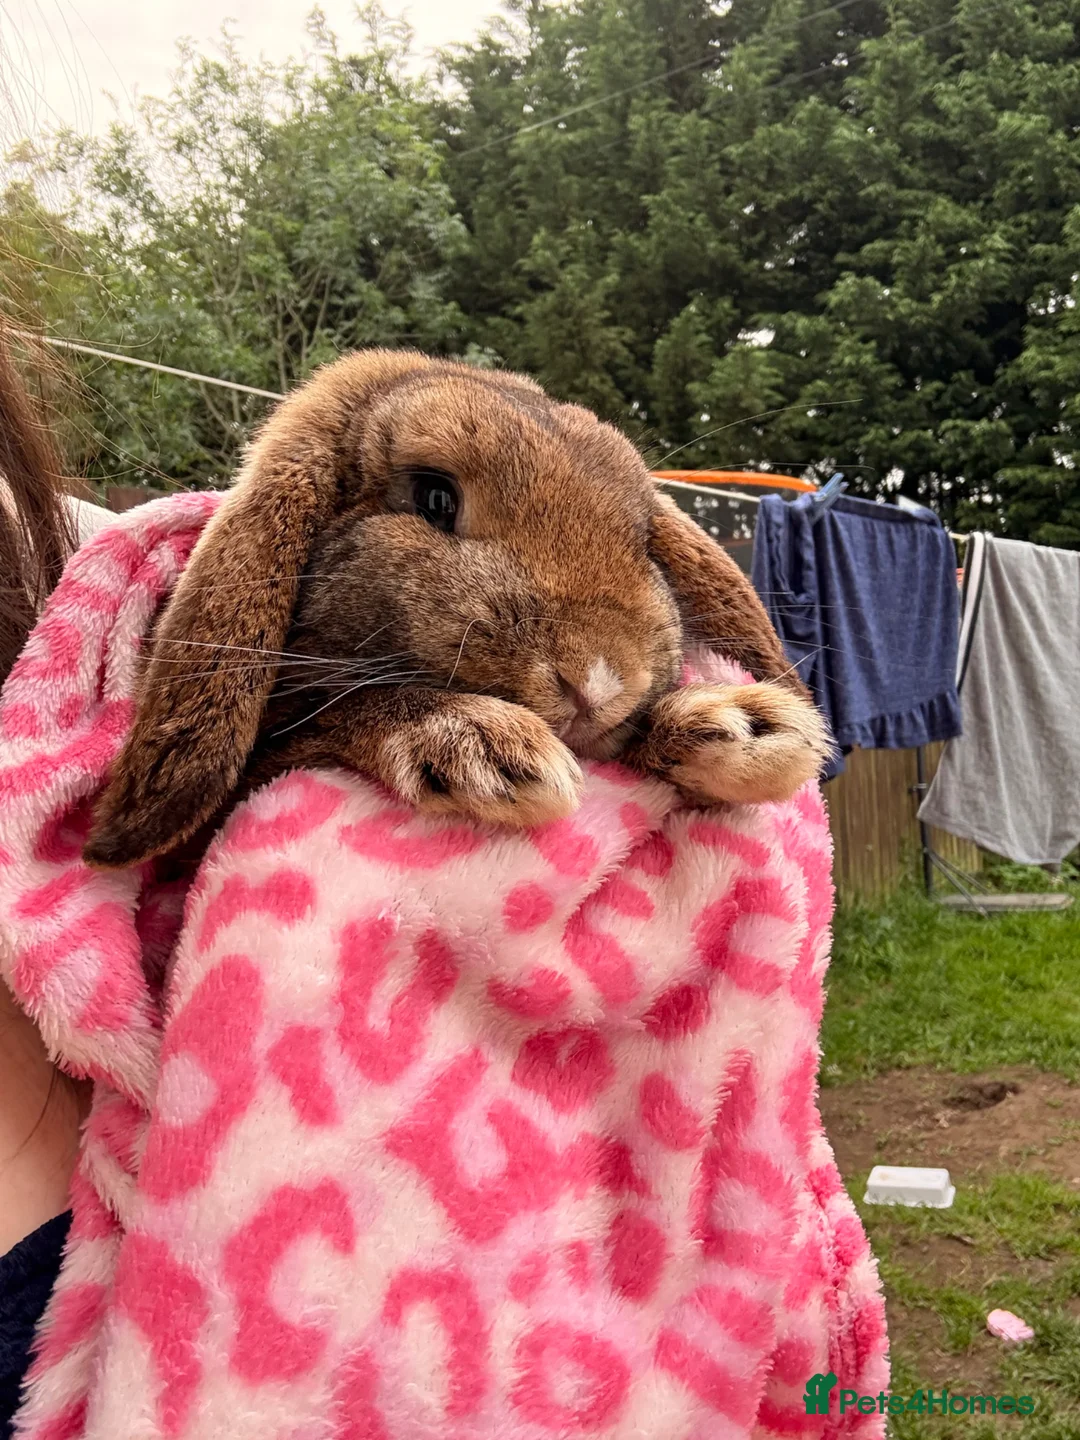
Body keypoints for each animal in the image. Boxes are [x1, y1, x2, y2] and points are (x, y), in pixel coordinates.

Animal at [82, 349, 829, 870]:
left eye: (644, 538)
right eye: (435, 497)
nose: (600, 680)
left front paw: (742, 727)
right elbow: (333, 719)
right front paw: (479, 744)